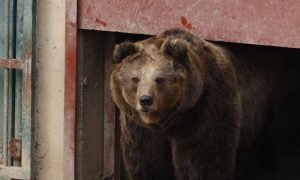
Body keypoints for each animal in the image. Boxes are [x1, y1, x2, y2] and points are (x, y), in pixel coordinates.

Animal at [110, 28, 300, 180]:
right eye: (135, 78)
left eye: (159, 79)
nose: (145, 100)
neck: (170, 121)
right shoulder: (140, 129)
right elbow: (148, 163)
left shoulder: (206, 110)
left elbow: (203, 161)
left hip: (275, 103)